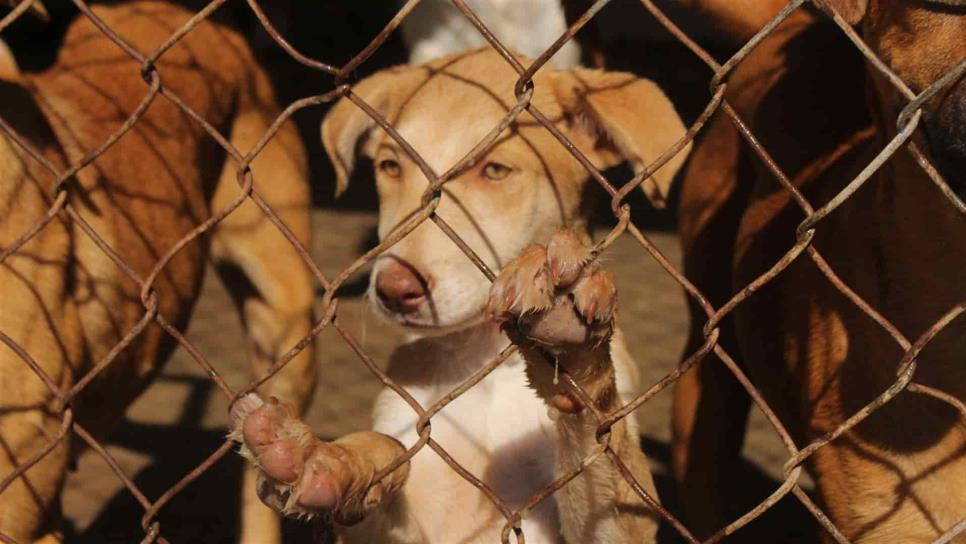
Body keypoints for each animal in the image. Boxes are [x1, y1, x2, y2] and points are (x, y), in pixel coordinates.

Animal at [232, 49, 692, 540]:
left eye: (495, 170)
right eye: (390, 167)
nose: (394, 290)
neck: (482, 361)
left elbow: (602, 441)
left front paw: (573, 353)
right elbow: (388, 448)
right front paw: (327, 458)